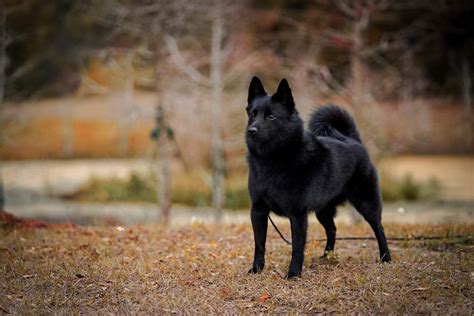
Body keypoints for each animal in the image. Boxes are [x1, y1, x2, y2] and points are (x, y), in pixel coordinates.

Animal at [246, 76, 390, 278]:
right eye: (252, 114)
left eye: (271, 116)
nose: (251, 130)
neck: (273, 160)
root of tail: (353, 140)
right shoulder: (258, 211)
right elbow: (259, 244)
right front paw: (256, 269)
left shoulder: (298, 215)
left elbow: (297, 247)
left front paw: (293, 274)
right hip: (323, 210)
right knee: (332, 229)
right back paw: (326, 257)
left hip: (367, 203)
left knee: (379, 228)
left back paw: (386, 258)